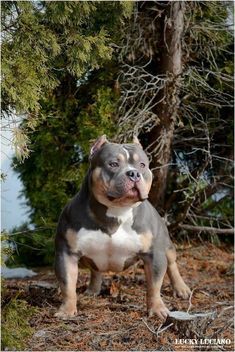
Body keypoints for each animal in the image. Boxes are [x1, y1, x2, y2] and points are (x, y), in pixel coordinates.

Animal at [54, 136, 190, 320]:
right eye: (113, 164)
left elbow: (154, 286)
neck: (117, 210)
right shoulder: (67, 253)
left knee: (172, 263)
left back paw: (181, 288)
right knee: (95, 270)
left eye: (142, 165)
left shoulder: (154, 254)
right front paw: (67, 310)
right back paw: (93, 289)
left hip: (167, 245)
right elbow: (67, 284)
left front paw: (157, 309)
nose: (134, 173)